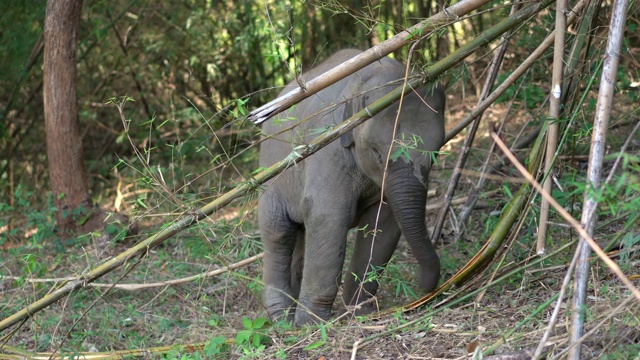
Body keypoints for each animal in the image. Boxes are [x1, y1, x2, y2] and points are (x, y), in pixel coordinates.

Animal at [256, 49, 444, 324]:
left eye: (435, 153)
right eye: (376, 151)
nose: (423, 288)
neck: (365, 78)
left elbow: (383, 223)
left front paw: (360, 312)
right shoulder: (327, 147)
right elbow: (327, 216)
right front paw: (310, 324)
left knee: (300, 235)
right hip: (270, 173)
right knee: (277, 232)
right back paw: (281, 318)